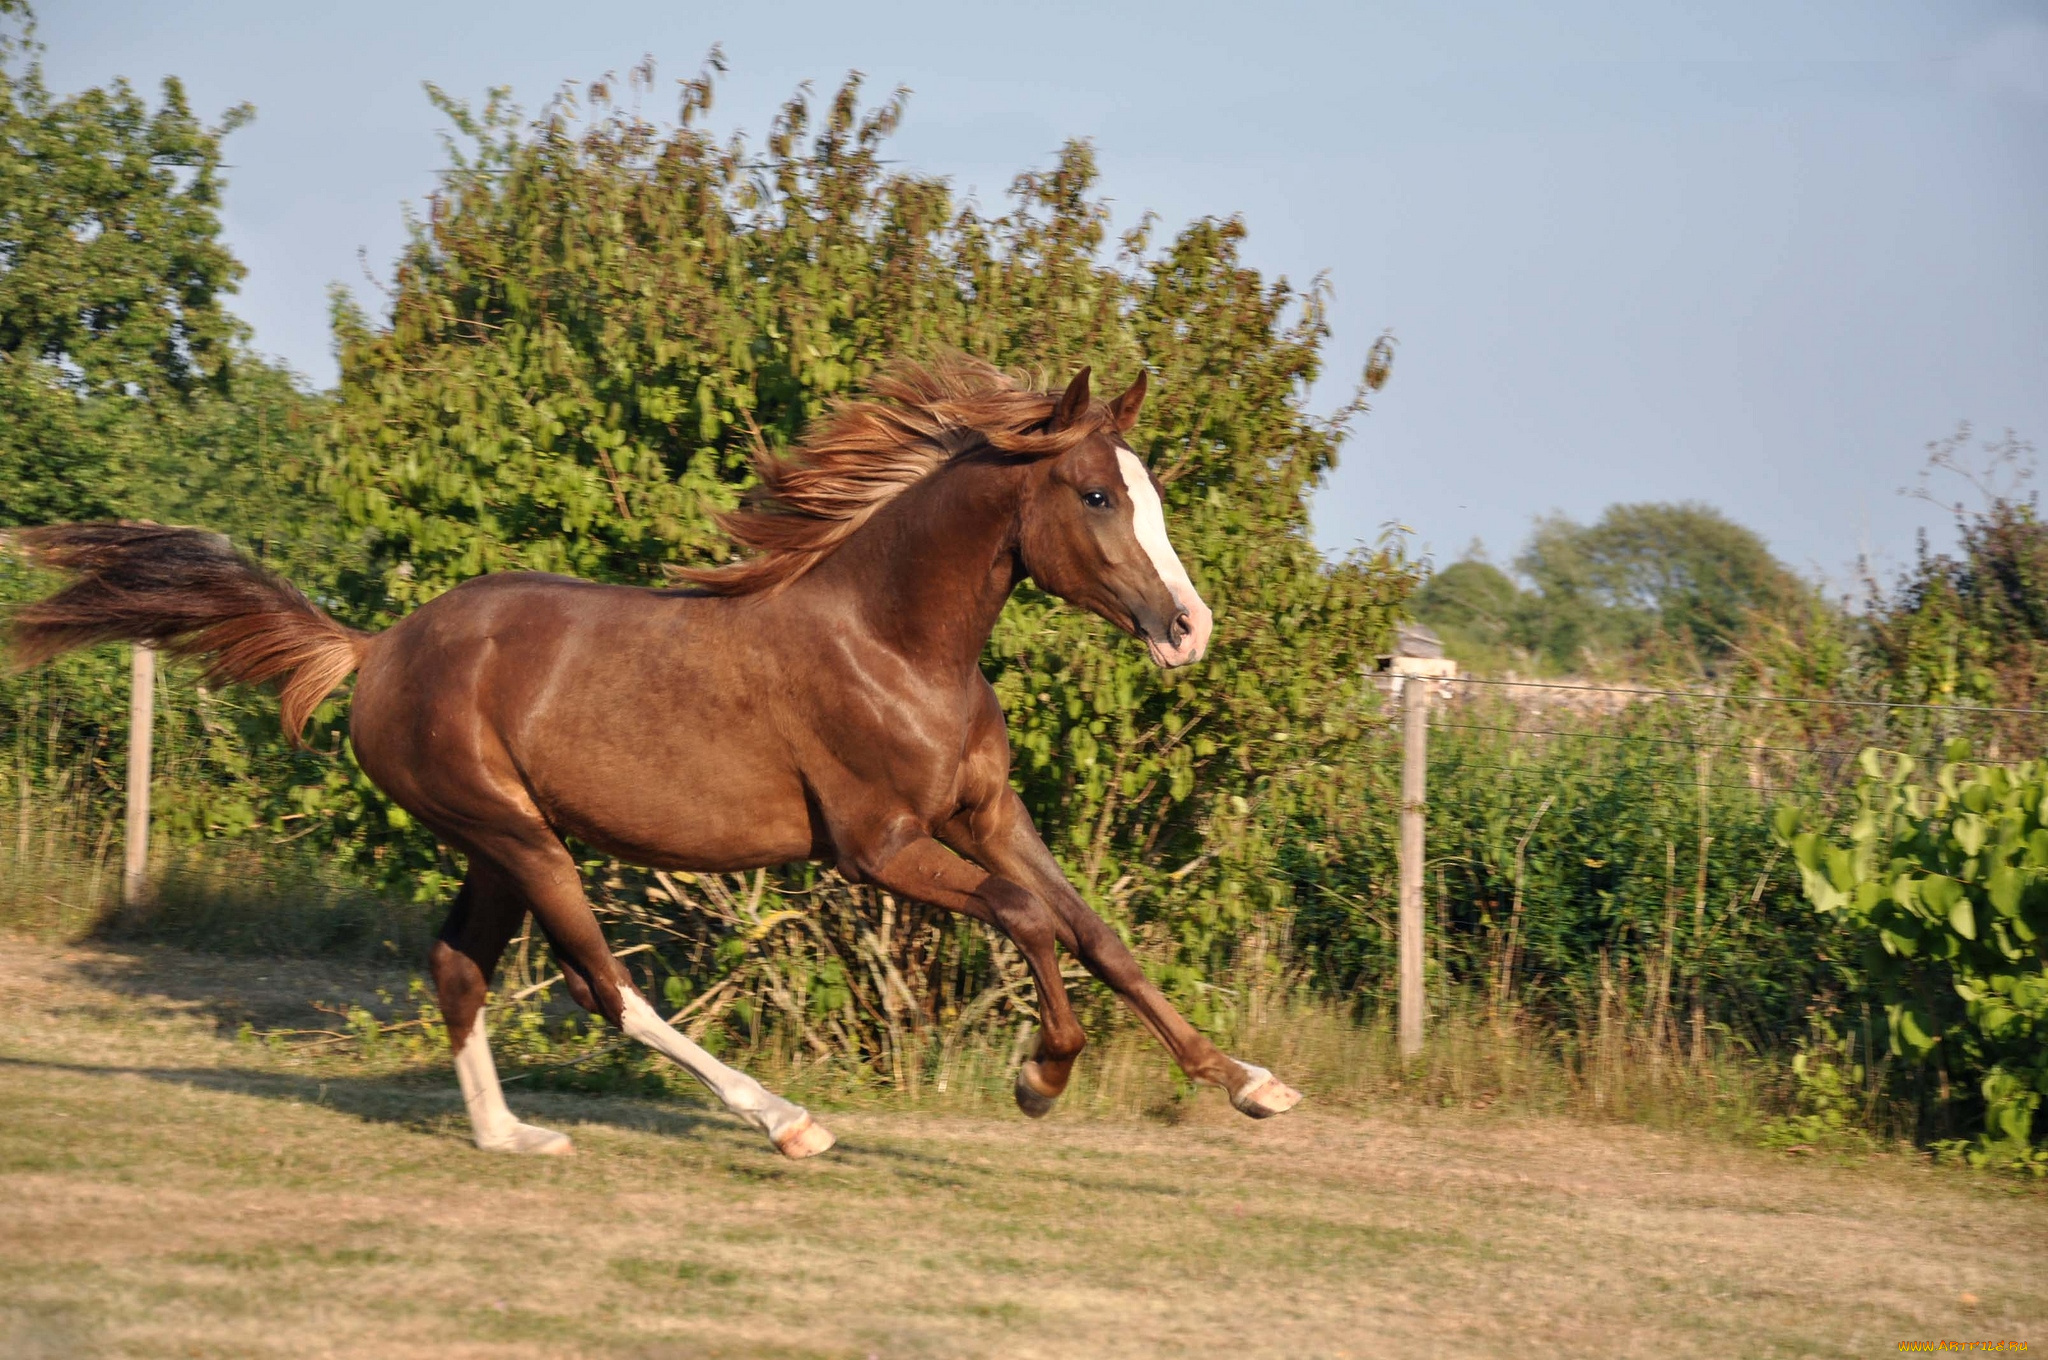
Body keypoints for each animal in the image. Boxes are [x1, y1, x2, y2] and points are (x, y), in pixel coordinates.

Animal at [8, 358, 1302, 1155]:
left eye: (1148, 492)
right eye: (1095, 495)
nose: (1187, 628)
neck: (892, 639)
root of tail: (376, 650)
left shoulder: (984, 815)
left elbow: (1096, 931)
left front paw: (1249, 1083)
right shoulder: (877, 848)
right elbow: (1031, 921)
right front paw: (1040, 1078)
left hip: (497, 844)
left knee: (459, 967)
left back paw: (511, 1136)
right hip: (520, 836)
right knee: (604, 986)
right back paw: (786, 1121)